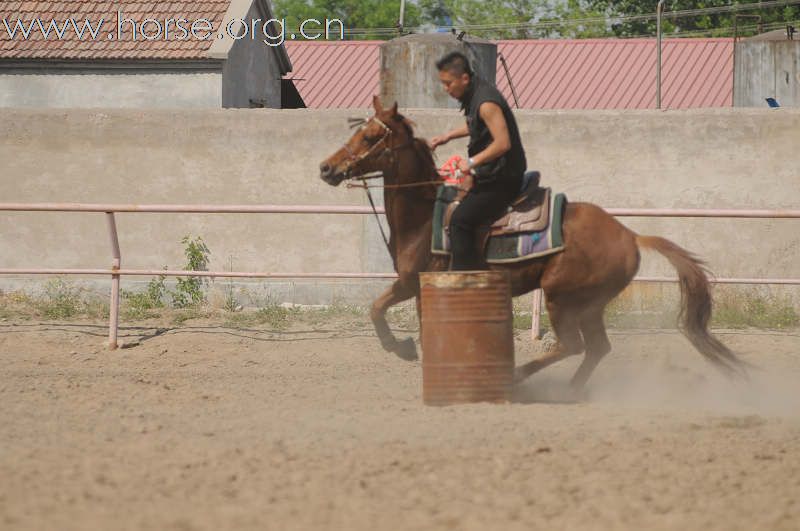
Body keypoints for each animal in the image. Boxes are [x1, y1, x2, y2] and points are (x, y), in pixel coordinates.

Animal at [318, 96, 744, 386]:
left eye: (371, 135)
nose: (327, 167)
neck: (424, 216)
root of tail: (630, 234)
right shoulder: (418, 287)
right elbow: (393, 314)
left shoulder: (412, 283)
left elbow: (377, 309)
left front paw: (402, 348)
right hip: (590, 304)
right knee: (596, 348)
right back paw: (572, 391)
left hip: (562, 297)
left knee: (572, 346)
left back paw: (521, 375)